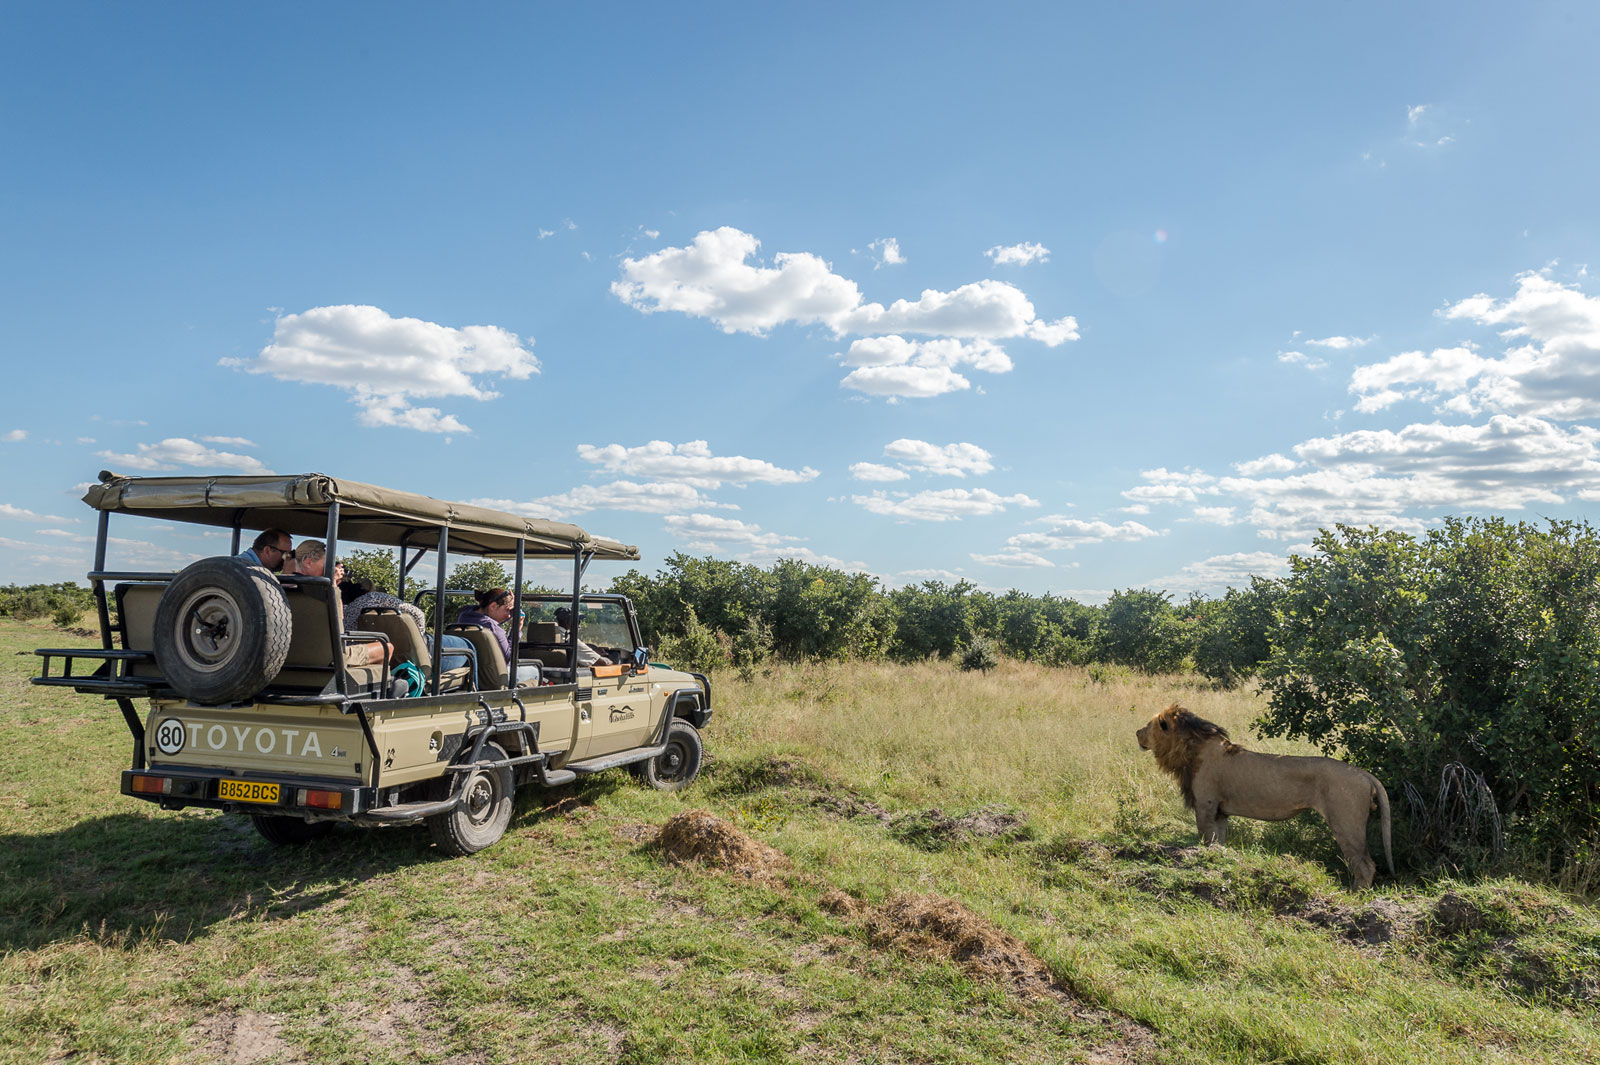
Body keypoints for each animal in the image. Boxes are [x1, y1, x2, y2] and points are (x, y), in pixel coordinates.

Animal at [1135, 703, 1392, 889]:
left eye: (1148, 725)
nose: (1137, 732)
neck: (1189, 750)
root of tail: (1364, 773)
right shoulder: (1220, 813)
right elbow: (1219, 843)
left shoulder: (1206, 806)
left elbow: (1207, 840)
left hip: (1346, 823)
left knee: (1366, 865)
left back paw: (1356, 894)